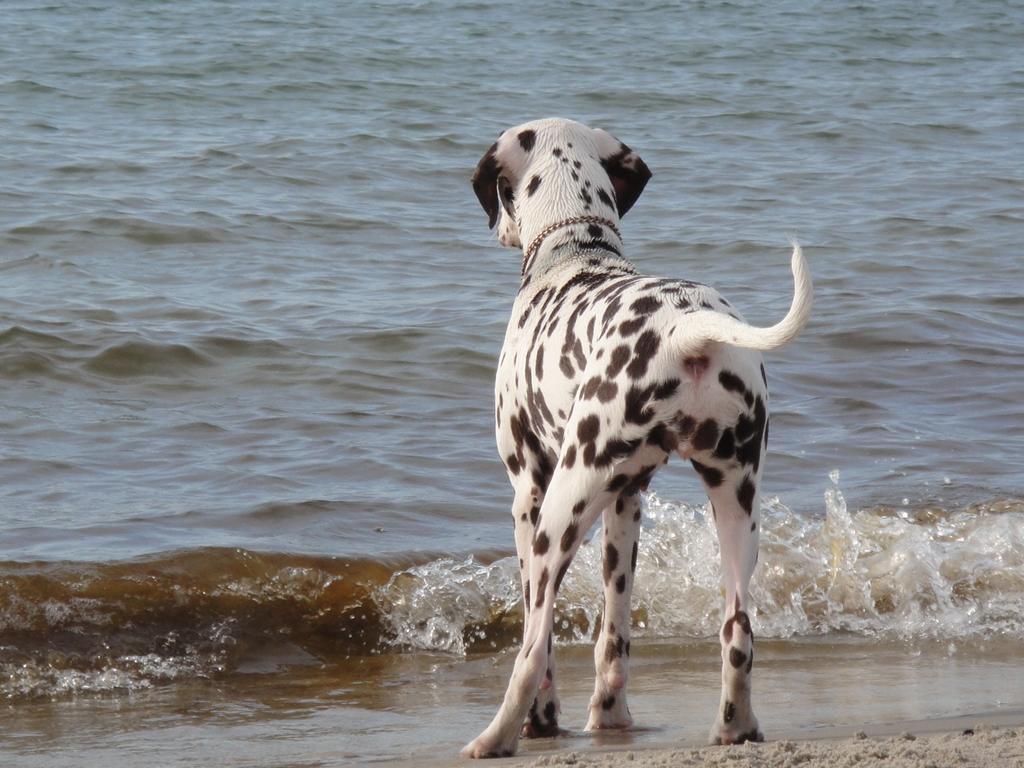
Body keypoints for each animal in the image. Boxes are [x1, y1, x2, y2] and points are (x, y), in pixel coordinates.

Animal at [462, 118, 806, 757]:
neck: (575, 252)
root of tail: (687, 327)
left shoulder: (528, 493)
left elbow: (547, 642)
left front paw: (544, 720)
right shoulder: (627, 501)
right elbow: (613, 633)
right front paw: (610, 715)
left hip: (561, 512)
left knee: (533, 646)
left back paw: (496, 736)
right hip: (736, 507)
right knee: (738, 630)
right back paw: (735, 727)